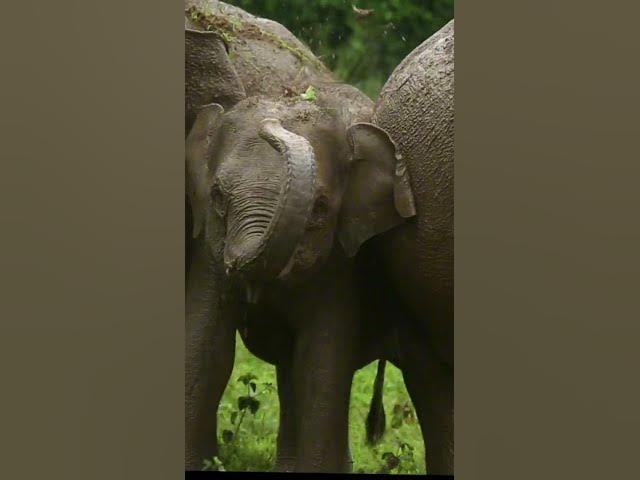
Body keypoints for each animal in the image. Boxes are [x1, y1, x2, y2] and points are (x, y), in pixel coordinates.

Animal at [185, 73, 417, 471]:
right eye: (217, 197)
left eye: (320, 207)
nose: (272, 125)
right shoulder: (209, 251)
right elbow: (205, 346)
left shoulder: (343, 261)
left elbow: (321, 360)